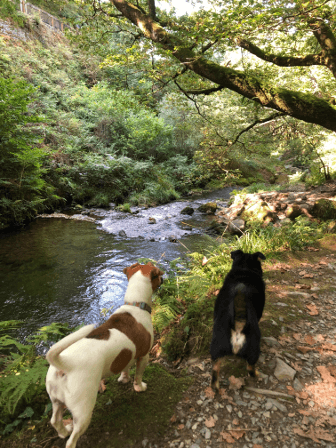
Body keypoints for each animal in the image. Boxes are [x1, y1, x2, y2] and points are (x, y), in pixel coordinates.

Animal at [45, 260, 163, 448]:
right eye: (159, 276)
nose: (164, 279)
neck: (135, 304)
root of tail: (64, 363)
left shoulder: (126, 355)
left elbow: (125, 368)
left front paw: (123, 379)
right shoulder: (143, 356)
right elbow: (138, 375)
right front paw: (139, 387)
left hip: (57, 402)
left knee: (55, 421)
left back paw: (64, 431)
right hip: (84, 411)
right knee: (72, 440)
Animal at [210, 250, 266, 390]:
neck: (244, 269)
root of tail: (238, 324)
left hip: (216, 349)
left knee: (215, 372)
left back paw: (217, 389)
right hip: (253, 350)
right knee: (250, 369)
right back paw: (258, 374)